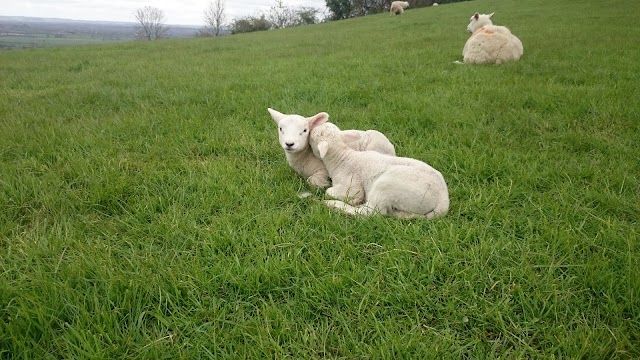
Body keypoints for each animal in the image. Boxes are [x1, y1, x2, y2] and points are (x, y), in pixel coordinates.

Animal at [266, 108, 396, 190]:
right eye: (280, 129)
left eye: (304, 130)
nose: (289, 144)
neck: (305, 156)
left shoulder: (323, 170)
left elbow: (312, 182)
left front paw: (324, 185)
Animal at [308, 119, 448, 218]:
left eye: (312, 137)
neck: (343, 157)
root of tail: (443, 201)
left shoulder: (351, 184)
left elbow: (332, 191)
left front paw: (353, 200)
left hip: (386, 187)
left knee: (371, 212)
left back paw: (333, 204)